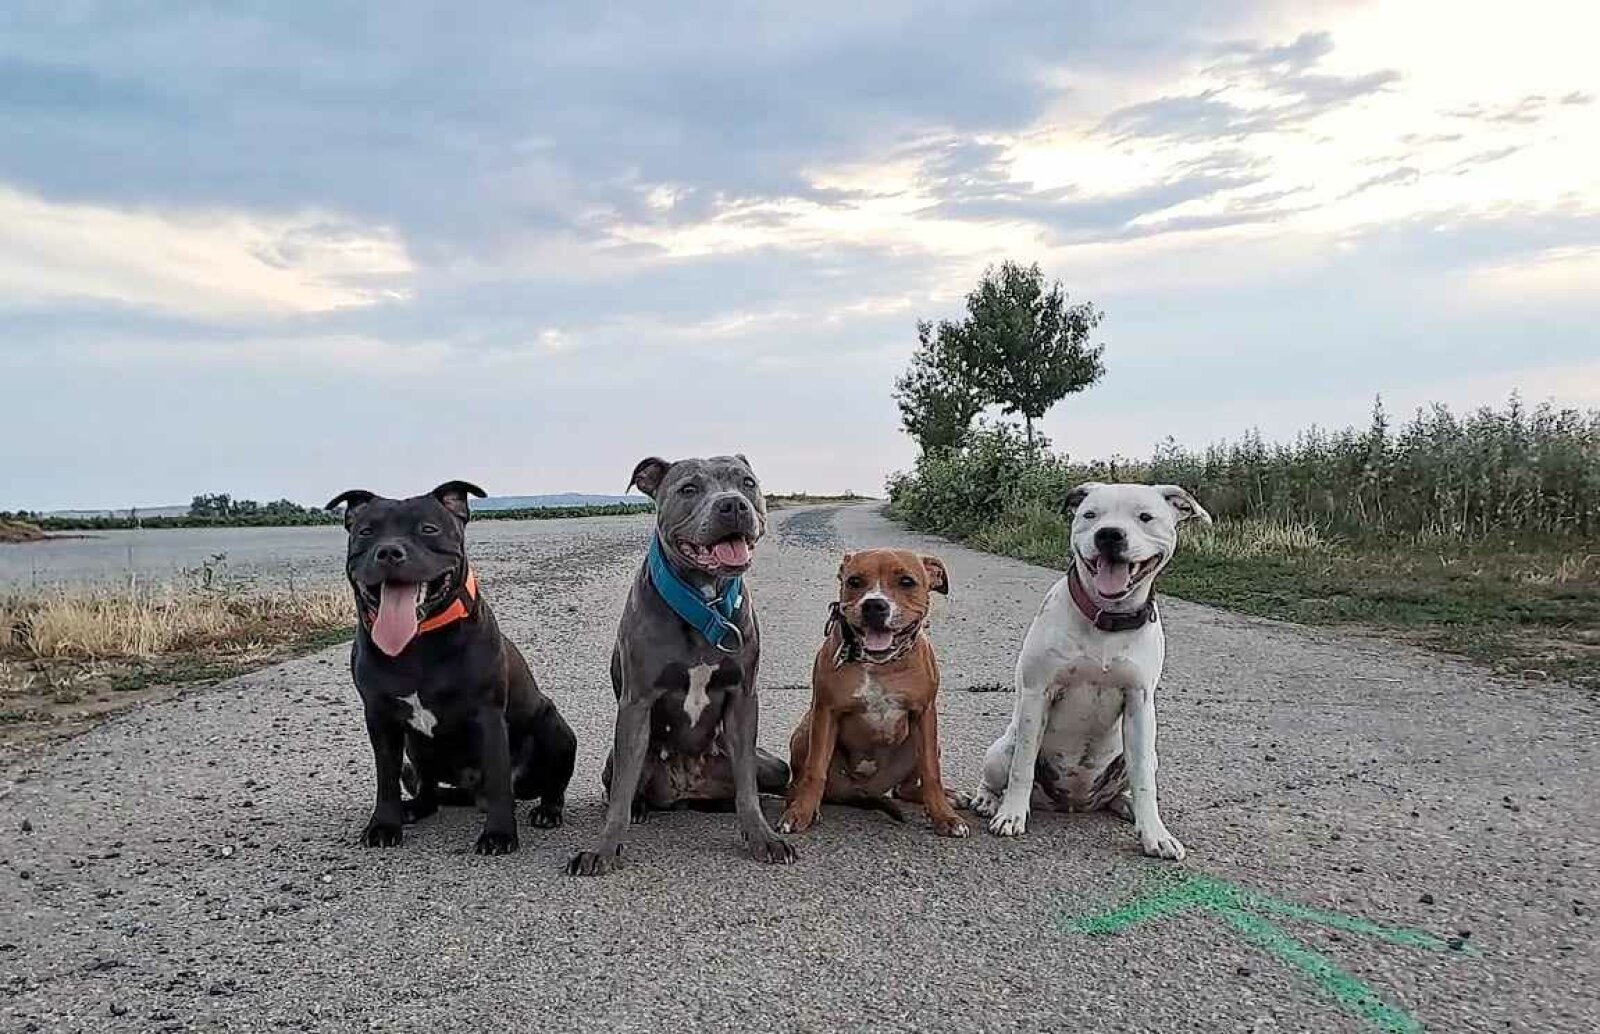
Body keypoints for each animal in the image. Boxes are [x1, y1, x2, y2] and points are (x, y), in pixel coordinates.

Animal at [326, 481, 577, 856]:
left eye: (429, 529)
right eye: (366, 532)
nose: (389, 552)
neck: (417, 641)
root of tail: (471, 792)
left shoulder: (487, 717)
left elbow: (499, 778)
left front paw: (499, 834)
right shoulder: (380, 719)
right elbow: (386, 778)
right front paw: (384, 824)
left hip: (554, 727)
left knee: (551, 783)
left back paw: (548, 810)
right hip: (415, 748)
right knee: (427, 789)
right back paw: (414, 808)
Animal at [567, 455, 794, 876]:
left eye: (747, 482)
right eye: (689, 488)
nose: (733, 504)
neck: (704, 602)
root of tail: (686, 789)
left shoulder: (743, 698)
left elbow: (748, 788)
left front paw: (762, 836)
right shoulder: (636, 703)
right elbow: (620, 794)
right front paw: (603, 848)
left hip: (772, 766)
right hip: (616, 756)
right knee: (622, 783)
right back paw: (641, 808)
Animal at [779, 549, 968, 838]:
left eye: (907, 582)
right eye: (854, 581)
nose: (874, 605)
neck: (880, 665)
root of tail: (863, 792)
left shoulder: (924, 714)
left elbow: (931, 773)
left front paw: (945, 816)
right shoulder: (825, 712)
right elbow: (815, 770)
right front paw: (801, 812)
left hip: (925, 742)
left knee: (906, 788)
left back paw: (951, 797)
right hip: (803, 733)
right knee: (800, 781)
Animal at [967, 482, 1211, 859]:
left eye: (1145, 517)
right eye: (1090, 514)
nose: (1109, 534)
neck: (1107, 620)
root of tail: (1076, 804)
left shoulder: (1139, 705)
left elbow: (1145, 781)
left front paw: (1155, 834)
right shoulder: (1037, 695)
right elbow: (1022, 766)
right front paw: (1011, 815)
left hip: (1140, 756)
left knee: (1127, 784)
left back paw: (1126, 805)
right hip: (1000, 749)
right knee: (1001, 771)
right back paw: (988, 800)